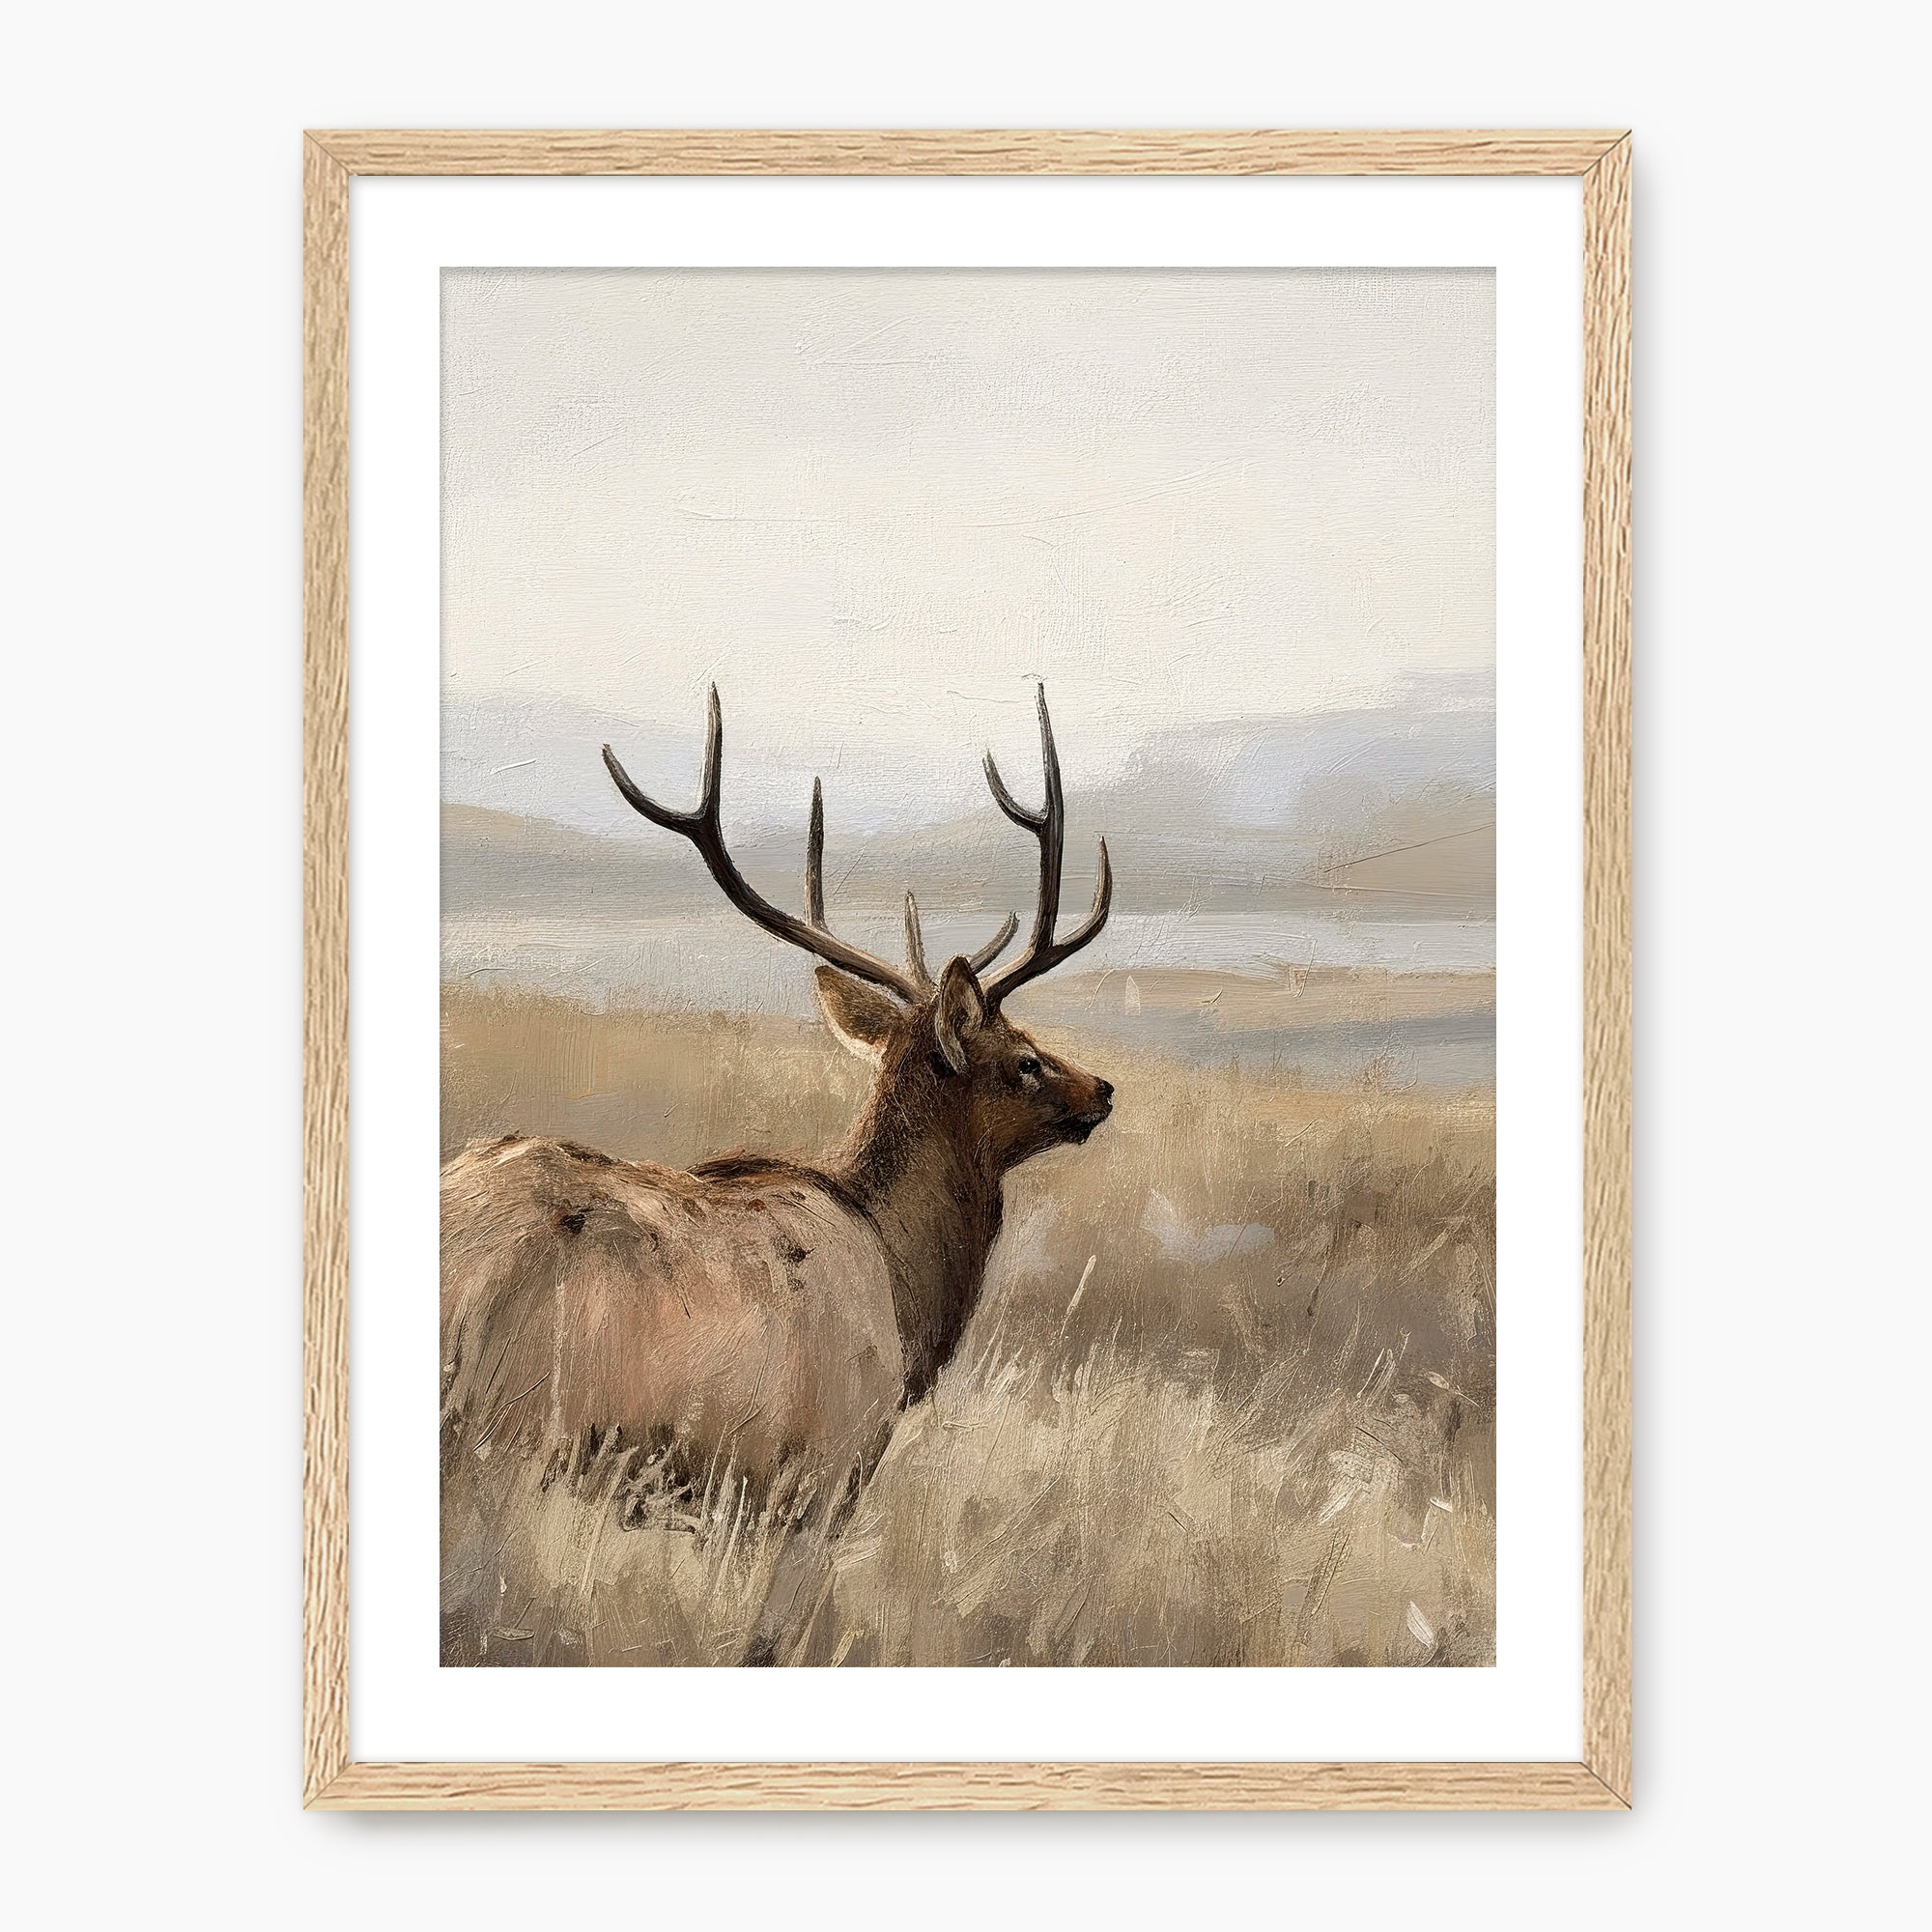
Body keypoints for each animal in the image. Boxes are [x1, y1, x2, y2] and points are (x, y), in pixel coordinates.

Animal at [439, 683, 1115, 1663]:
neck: (908, 1296)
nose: (1101, 1088)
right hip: (501, 1435)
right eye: (1023, 1059)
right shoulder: (819, 1479)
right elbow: (766, 1645)